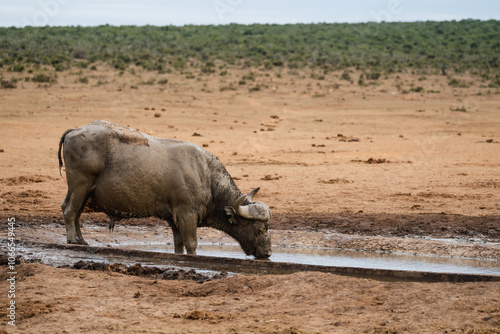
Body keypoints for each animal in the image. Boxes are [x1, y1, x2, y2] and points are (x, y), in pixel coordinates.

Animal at [57, 121, 274, 260]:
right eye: (260, 228)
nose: (268, 253)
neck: (207, 177)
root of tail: (75, 130)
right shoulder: (187, 215)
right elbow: (191, 244)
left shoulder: (174, 219)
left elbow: (178, 245)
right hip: (80, 184)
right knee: (69, 210)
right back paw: (72, 240)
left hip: (85, 191)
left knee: (75, 212)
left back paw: (82, 240)